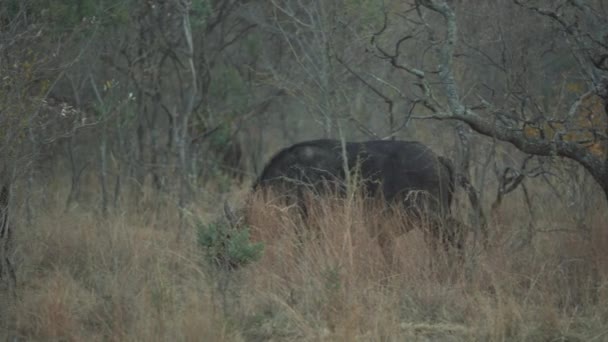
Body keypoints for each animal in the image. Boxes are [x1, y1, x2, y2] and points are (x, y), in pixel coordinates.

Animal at [226, 138, 464, 264]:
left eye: (231, 235)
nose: (229, 260)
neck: (287, 175)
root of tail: (436, 157)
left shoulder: (307, 221)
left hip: (430, 214)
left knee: (455, 233)